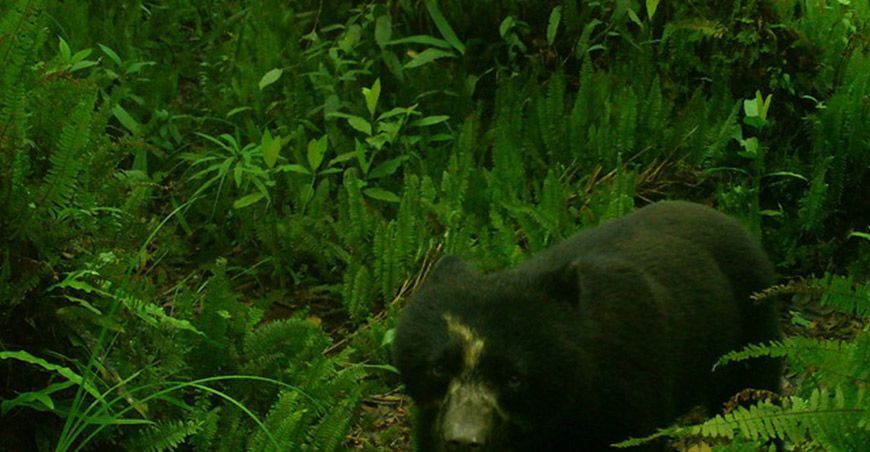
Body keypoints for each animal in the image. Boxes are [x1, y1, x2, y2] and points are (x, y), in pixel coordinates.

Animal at [392, 201, 782, 451]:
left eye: (514, 377)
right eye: (439, 367)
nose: (463, 439)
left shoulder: (628, 389)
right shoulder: (432, 416)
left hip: (748, 323)